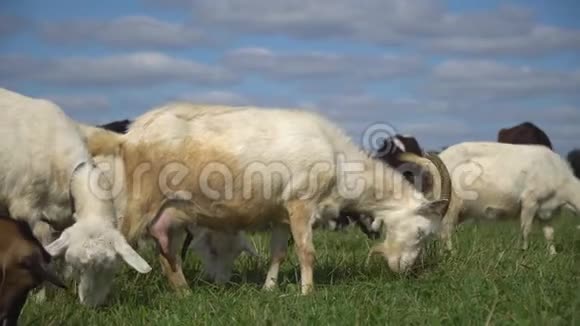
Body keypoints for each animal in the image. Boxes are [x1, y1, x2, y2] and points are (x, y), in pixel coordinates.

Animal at [0, 88, 152, 306]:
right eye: (80, 268)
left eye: (111, 267)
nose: (91, 306)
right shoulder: (26, 210)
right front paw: (40, 298)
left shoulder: (66, 216)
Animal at [80, 103, 448, 294]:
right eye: (421, 232)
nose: (404, 268)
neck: (338, 160)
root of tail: (129, 137)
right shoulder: (301, 204)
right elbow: (307, 251)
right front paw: (307, 293)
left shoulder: (280, 214)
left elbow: (279, 252)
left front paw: (270, 289)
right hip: (139, 202)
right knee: (120, 242)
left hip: (170, 213)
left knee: (166, 251)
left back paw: (184, 293)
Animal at [402, 142, 580, 252]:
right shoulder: (530, 201)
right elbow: (526, 229)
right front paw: (522, 251)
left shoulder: (546, 211)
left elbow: (550, 234)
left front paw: (552, 255)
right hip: (451, 204)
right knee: (445, 231)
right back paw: (450, 253)